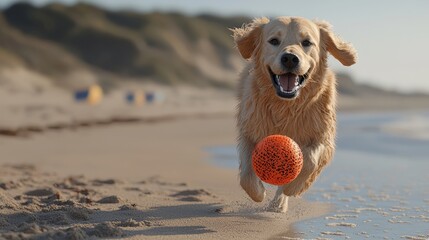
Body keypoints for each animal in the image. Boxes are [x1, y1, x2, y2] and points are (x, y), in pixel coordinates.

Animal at [232, 16, 356, 212]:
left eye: (307, 42)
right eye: (274, 41)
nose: (290, 58)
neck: (286, 106)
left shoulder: (323, 137)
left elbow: (310, 160)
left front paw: (294, 187)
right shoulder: (249, 130)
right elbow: (246, 172)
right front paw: (258, 192)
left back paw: (279, 202)